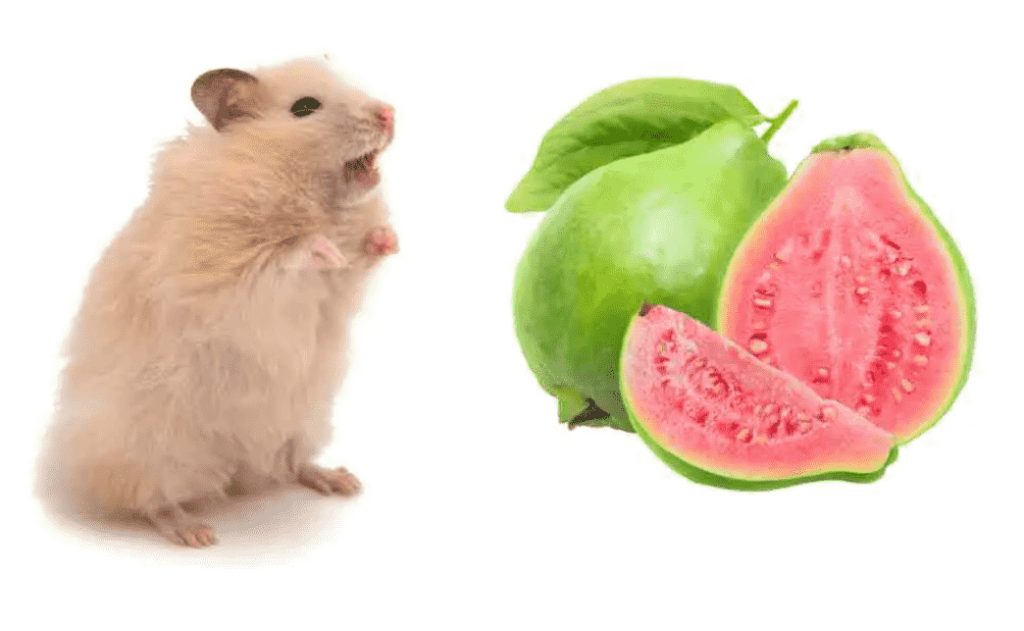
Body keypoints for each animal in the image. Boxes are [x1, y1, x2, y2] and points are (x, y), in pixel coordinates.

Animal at [38, 58, 398, 547]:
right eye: (305, 107)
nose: (390, 114)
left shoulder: (338, 287)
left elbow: (356, 260)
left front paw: (388, 238)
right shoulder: (226, 277)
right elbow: (284, 258)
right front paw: (320, 247)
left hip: (305, 421)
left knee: (290, 465)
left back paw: (342, 480)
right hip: (152, 450)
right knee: (153, 501)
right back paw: (195, 533)